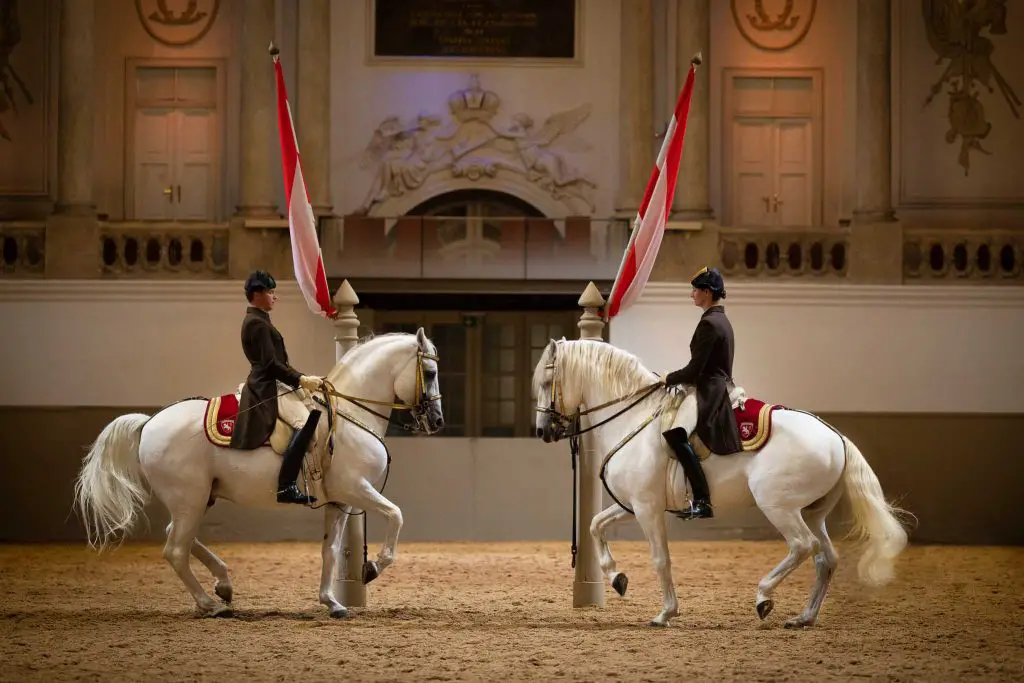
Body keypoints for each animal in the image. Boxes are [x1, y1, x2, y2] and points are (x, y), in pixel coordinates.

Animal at [72, 329, 440, 618]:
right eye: (431, 372)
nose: (437, 421)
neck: (349, 414)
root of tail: (149, 423)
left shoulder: (340, 500)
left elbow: (330, 550)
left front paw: (332, 602)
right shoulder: (355, 488)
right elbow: (396, 515)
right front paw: (372, 567)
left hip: (197, 498)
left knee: (178, 538)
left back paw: (223, 584)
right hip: (190, 499)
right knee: (175, 549)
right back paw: (210, 604)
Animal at [532, 337, 909, 630]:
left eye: (546, 382)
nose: (542, 432)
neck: (633, 418)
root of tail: (836, 436)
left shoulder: (647, 508)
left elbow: (660, 558)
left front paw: (665, 613)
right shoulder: (633, 504)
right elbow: (596, 526)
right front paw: (617, 579)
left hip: (778, 505)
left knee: (803, 546)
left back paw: (763, 597)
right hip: (812, 512)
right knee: (825, 558)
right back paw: (804, 617)